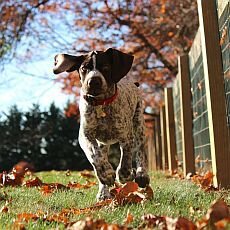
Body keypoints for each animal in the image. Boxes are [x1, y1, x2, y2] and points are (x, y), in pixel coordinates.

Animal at [54, 48, 151, 199]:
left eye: (105, 67)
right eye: (84, 68)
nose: (93, 81)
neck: (101, 104)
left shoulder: (126, 136)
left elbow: (126, 159)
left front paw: (125, 175)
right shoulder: (85, 136)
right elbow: (95, 156)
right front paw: (107, 174)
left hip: (139, 124)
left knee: (141, 149)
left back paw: (142, 174)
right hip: (103, 143)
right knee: (101, 156)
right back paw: (103, 192)